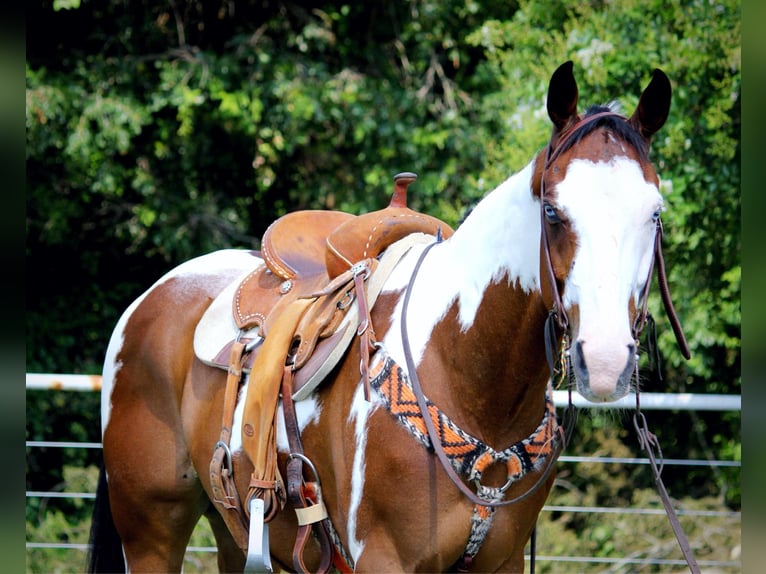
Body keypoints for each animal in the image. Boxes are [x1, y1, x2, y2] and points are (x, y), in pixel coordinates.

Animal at [88, 60, 688, 573]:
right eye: (553, 212)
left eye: (655, 213)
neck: (468, 373)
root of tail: (149, 301)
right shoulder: (384, 558)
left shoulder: (502, 561)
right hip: (150, 531)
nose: (605, 361)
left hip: (234, 530)